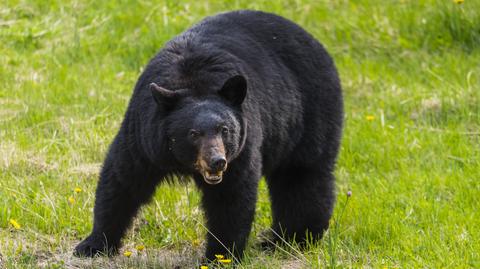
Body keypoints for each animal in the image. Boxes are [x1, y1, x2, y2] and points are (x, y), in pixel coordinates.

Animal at [75, 9, 344, 260]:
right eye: (193, 133)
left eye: (225, 130)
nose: (217, 161)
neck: (193, 82)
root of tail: (315, 42)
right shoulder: (143, 135)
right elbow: (122, 180)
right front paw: (92, 244)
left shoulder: (243, 146)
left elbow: (231, 198)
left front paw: (220, 255)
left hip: (309, 115)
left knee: (302, 178)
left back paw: (292, 239)